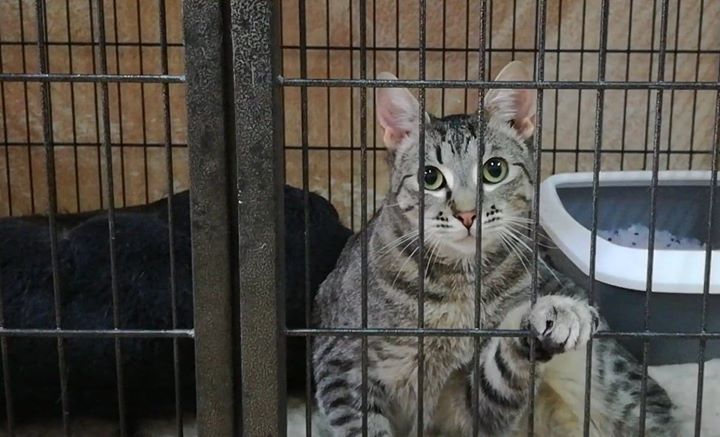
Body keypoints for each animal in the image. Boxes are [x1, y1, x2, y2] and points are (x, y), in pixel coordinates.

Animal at [312, 61, 678, 437]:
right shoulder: (342, 364)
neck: (457, 289)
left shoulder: (472, 408)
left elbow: (500, 371)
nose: (466, 213)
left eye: (494, 169)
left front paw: (555, 312)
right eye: (429, 177)